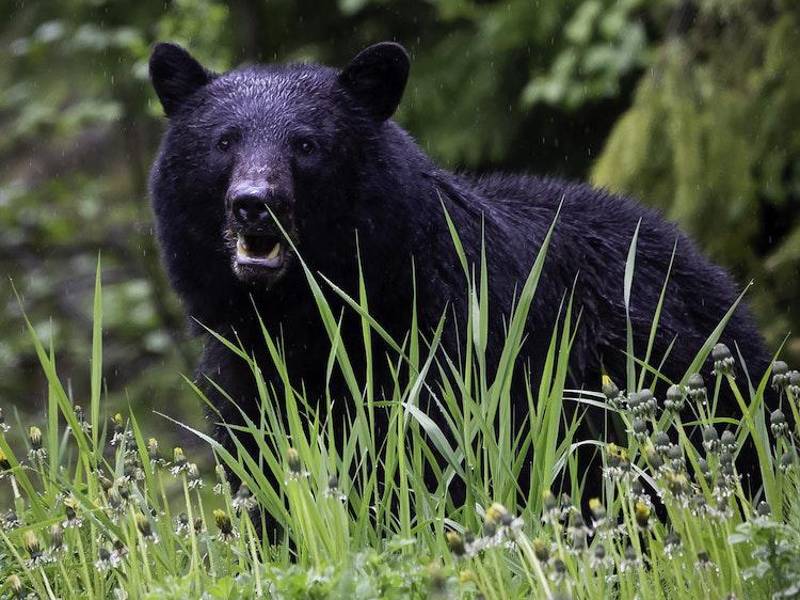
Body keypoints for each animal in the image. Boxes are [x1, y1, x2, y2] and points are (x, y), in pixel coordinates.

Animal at [148, 41, 771, 502]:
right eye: (224, 141)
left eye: (306, 145)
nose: (255, 202)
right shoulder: (242, 370)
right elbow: (265, 471)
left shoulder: (451, 345)